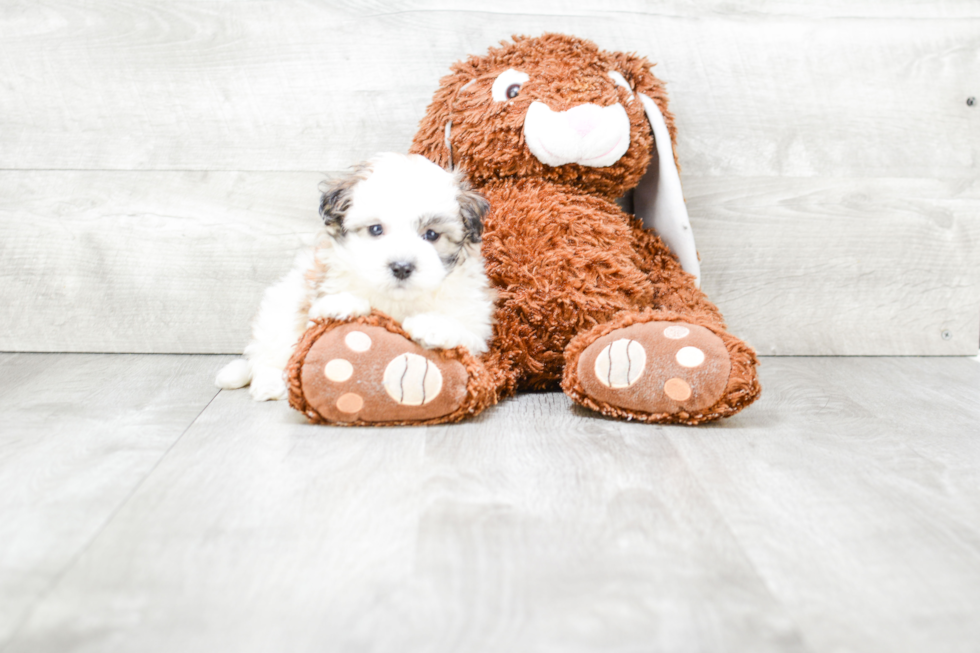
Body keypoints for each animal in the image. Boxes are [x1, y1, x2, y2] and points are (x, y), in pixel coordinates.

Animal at [213, 152, 490, 400]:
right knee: (270, 351)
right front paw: (342, 304)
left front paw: (435, 325)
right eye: (376, 229)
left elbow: (467, 330)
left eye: (431, 234)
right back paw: (269, 383)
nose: (401, 267)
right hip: (280, 306)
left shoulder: (475, 318)